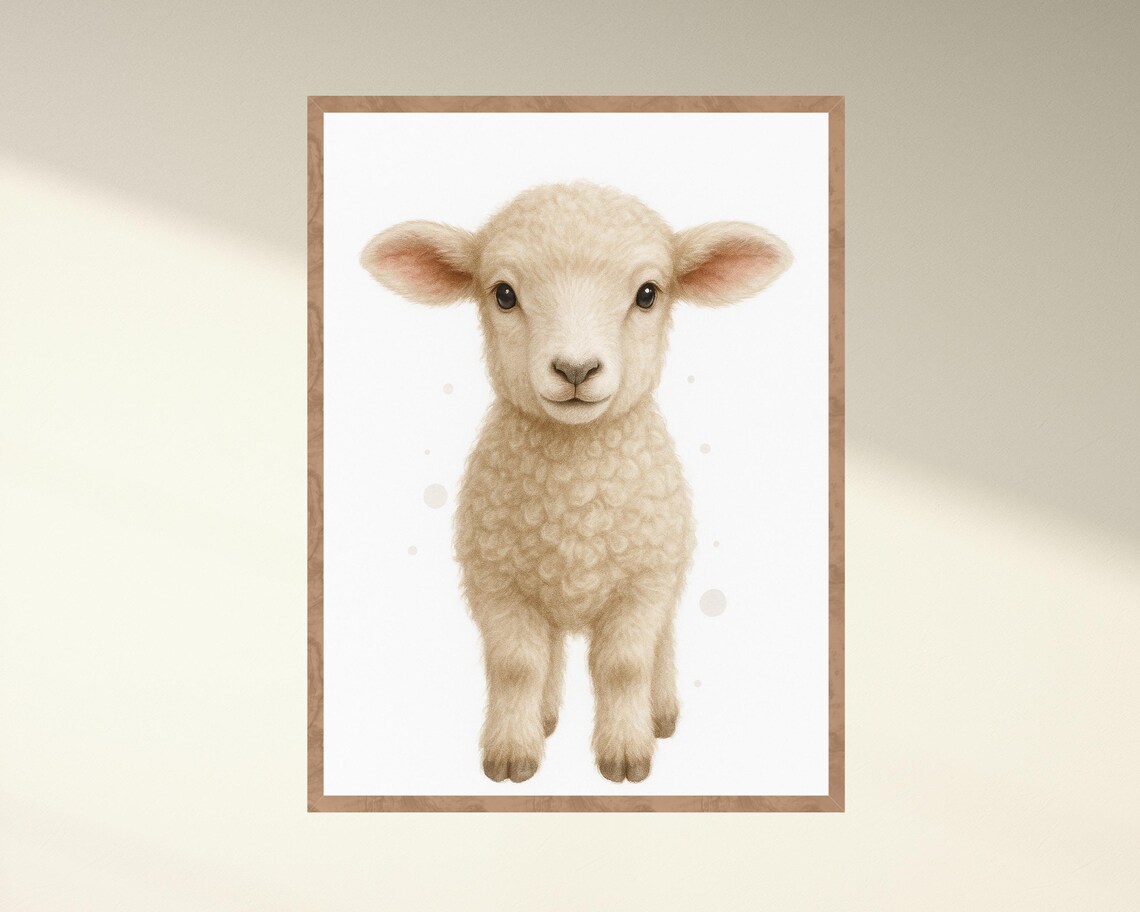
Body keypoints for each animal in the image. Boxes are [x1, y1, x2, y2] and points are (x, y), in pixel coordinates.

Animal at [361, 181, 792, 783]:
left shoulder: (644, 582)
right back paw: (544, 717)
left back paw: (660, 713)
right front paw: (511, 754)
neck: (574, 498)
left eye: (647, 294)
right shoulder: (497, 581)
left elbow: (624, 666)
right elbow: (516, 664)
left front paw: (627, 753)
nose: (575, 370)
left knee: (661, 644)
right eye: (504, 294)